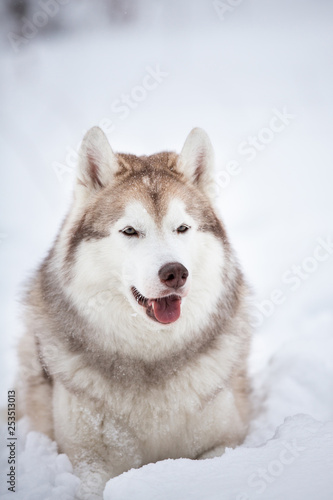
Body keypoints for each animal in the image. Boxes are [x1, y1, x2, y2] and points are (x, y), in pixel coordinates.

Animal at [17, 128, 252, 500]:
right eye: (130, 231)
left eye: (182, 228)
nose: (175, 273)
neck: (152, 358)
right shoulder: (88, 461)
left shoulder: (225, 442)